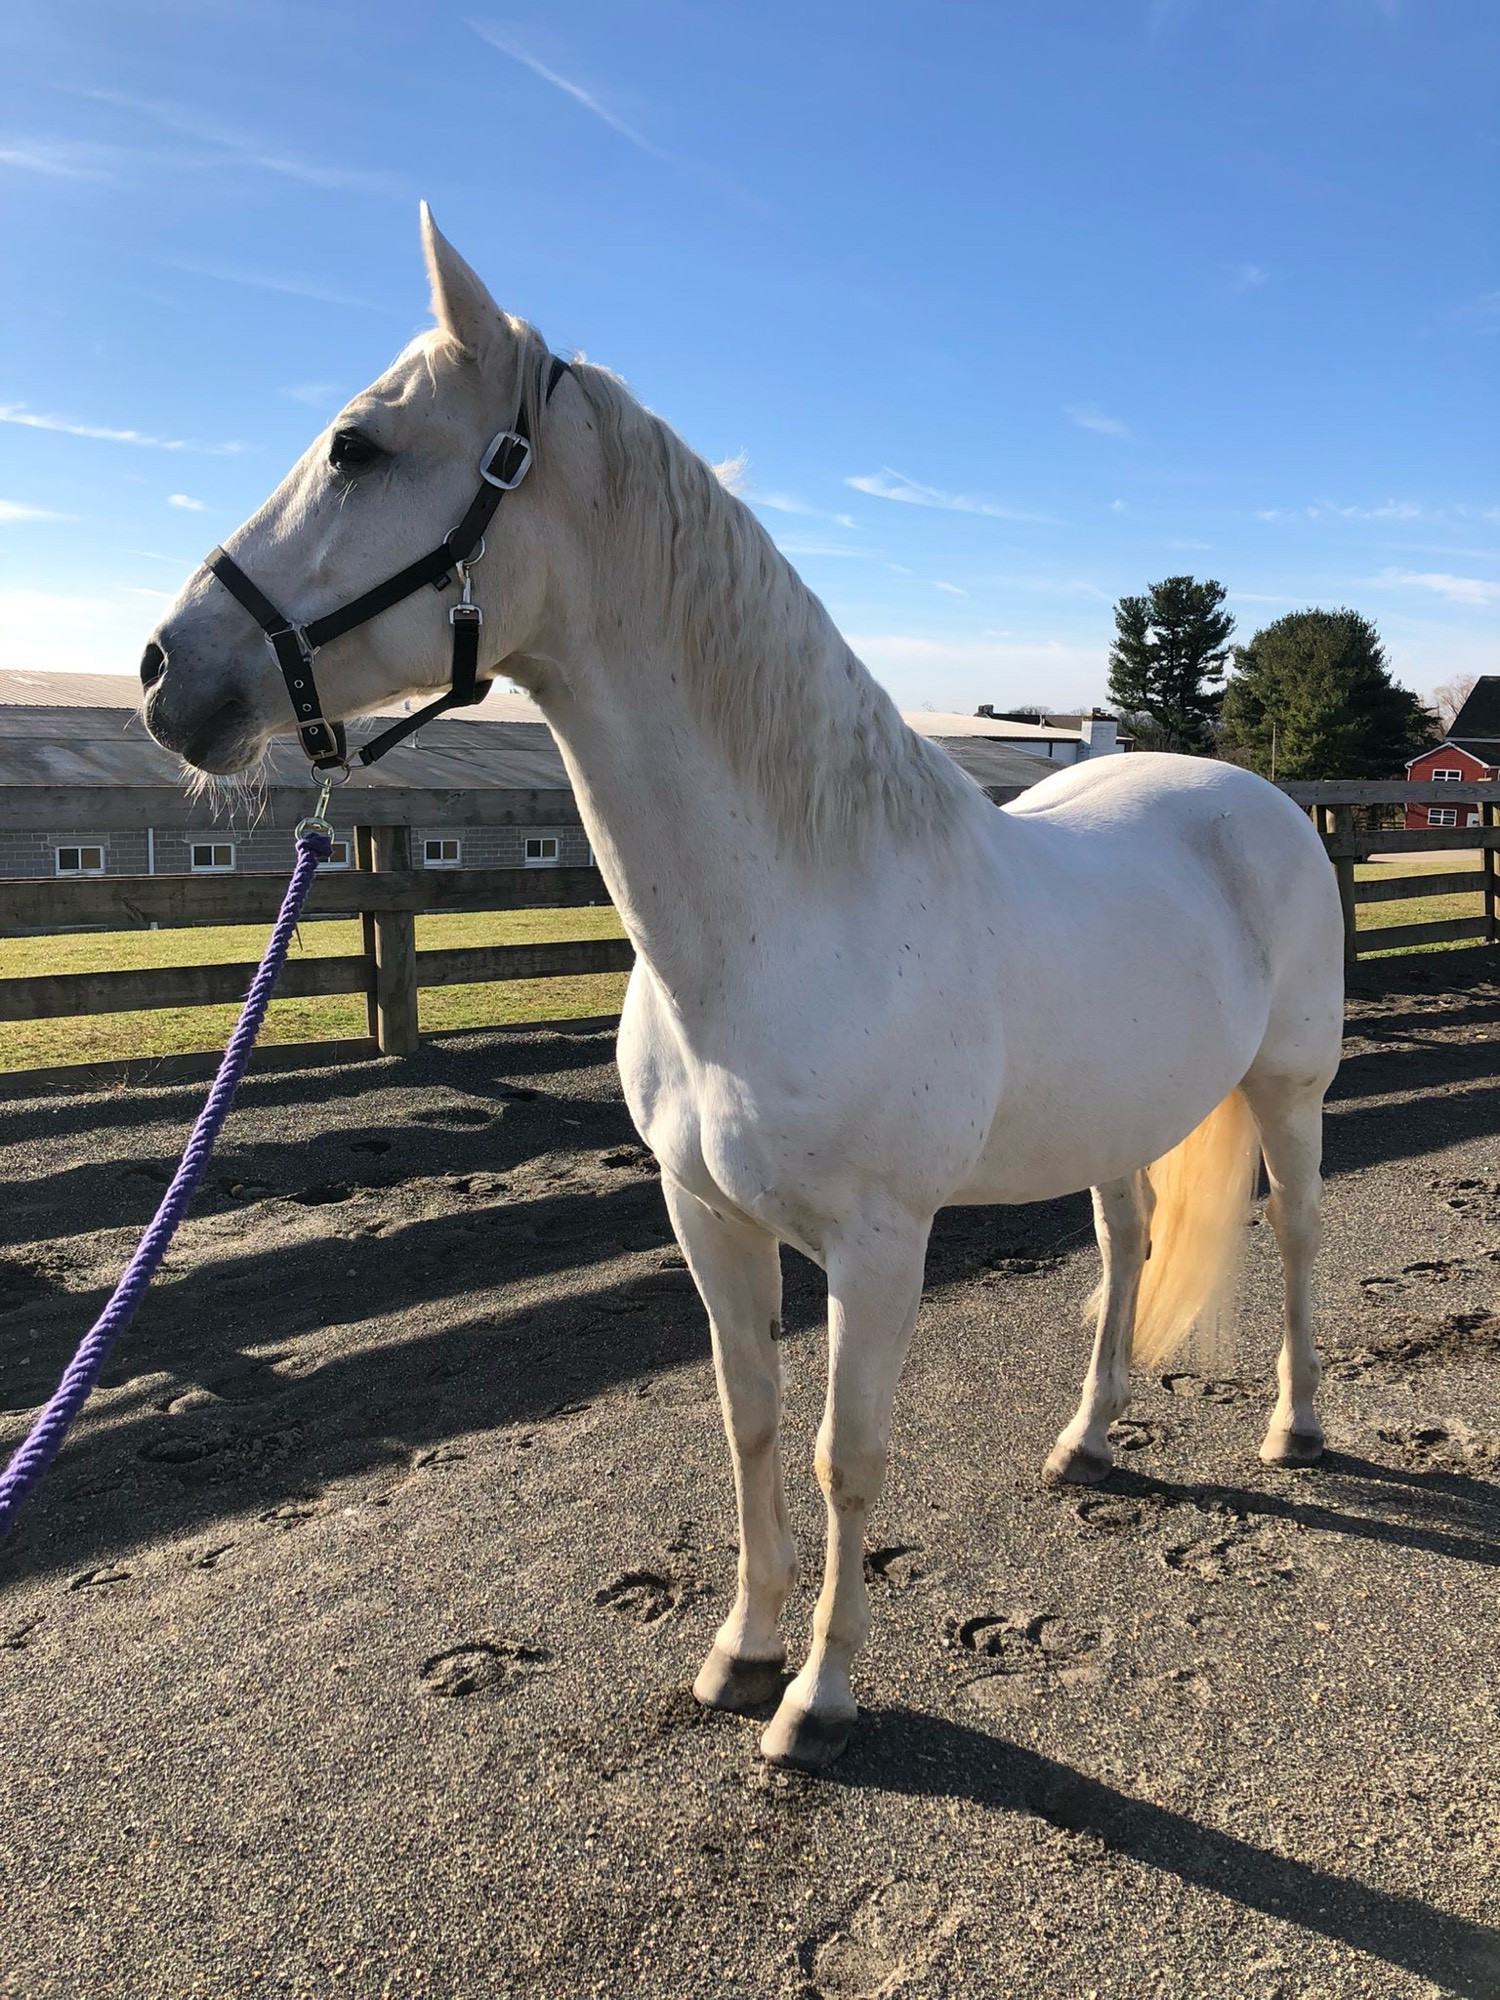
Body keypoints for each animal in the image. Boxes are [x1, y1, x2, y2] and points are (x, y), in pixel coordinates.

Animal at [141, 211, 1344, 1776]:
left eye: (358, 446)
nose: (167, 672)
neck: (789, 918)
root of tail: (1258, 800)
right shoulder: (706, 1215)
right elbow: (752, 1423)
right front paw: (741, 1650)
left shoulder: (879, 1244)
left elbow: (848, 1455)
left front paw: (818, 1698)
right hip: (1115, 1118)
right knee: (1128, 1246)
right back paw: (1087, 1439)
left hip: (1291, 1087)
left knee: (1305, 1237)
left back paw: (1297, 1428)